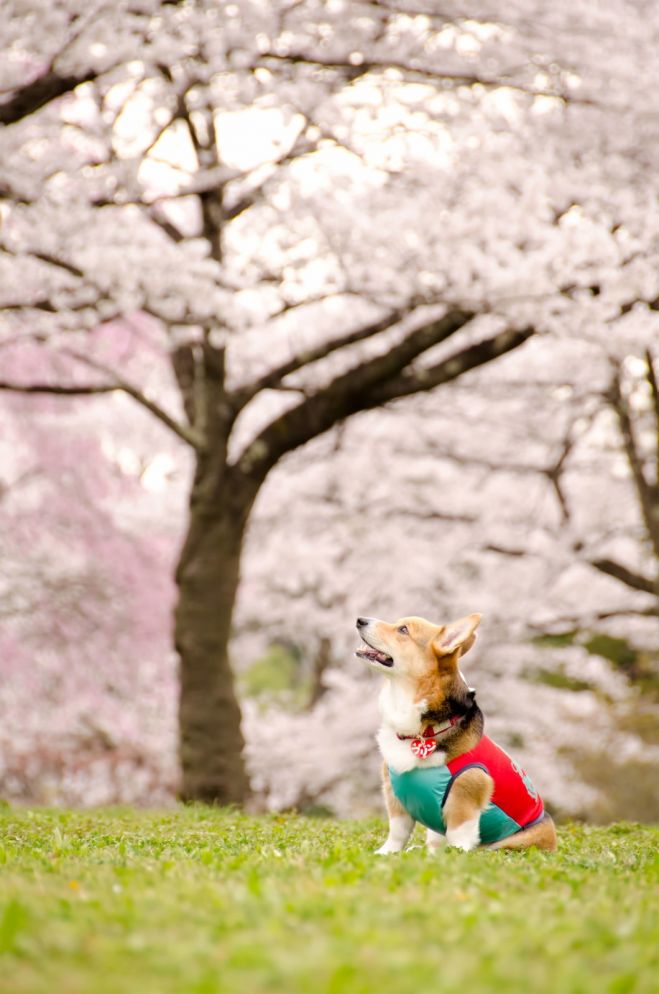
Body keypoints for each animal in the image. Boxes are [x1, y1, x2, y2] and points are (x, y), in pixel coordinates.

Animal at [356, 612, 556, 852]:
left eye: (403, 630)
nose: (360, 620)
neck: (424, 731)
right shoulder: (394, 796)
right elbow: (398, 832)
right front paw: (387, 853)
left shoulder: (466, 791)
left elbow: (459, 833)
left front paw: (456, 855)